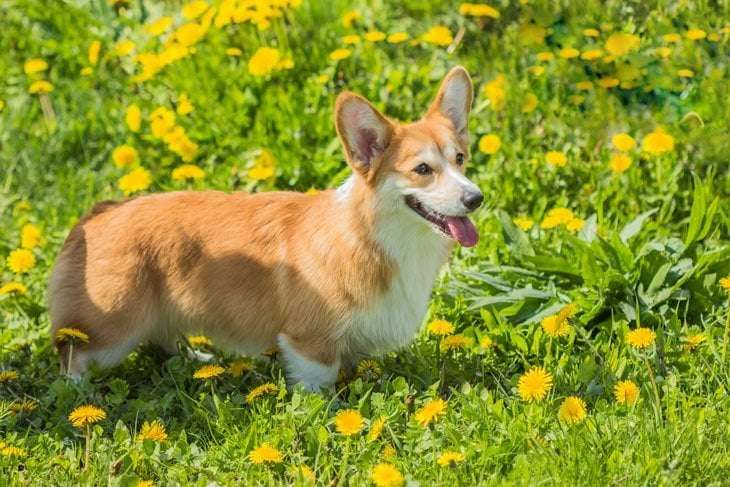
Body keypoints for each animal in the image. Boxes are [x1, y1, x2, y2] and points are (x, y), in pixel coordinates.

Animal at [47, 66, 478, 392]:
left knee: (162, 341)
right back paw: (81, 396)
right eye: (422, 169)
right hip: (113, 329)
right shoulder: (309, 343)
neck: (374, 237)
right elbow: (318, 384)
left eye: (460, 159)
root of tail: (98, 214)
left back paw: (197, 360)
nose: (476, 198)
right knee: (75, 358)